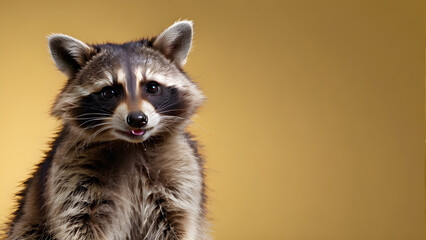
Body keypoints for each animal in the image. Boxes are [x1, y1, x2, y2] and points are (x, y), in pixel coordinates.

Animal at [3, 21, 208, 240]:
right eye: (109, 92)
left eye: (152, 87)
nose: (137, 119)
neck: (132, 145)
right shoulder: (70, 173)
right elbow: (76, 222)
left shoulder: (181, 172)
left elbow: (177, 222)